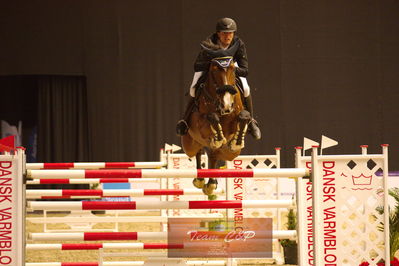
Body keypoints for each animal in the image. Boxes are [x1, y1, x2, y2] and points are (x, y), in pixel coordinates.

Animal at [180, 43, 250, 196]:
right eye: (213, 70)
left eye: (232, 69)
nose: (227, 105)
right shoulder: (200, 124)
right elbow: (212, 117)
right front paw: (218, 137)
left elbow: (244, 116)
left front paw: (236, 141)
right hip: (189, 145)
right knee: (199, 152)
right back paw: (202, 181)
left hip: (231, 154)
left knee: (214, 155)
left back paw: (211, 182)